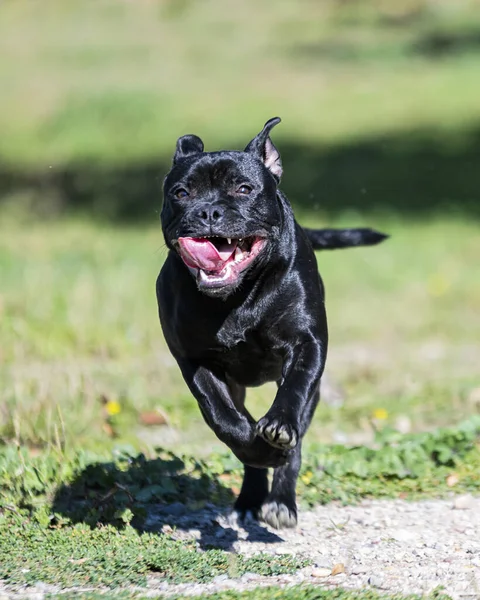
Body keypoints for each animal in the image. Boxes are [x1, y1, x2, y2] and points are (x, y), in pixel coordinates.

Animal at [158, 118, 386, 528]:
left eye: (244, 188)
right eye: (181, 193)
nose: (208, 212)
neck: (237, 297)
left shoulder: (307, 344)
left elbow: (293, 391)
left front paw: (278, 428)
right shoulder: (194, 361)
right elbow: (225, 419)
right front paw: (257, 449)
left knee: (296, 434)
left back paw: (280, 500)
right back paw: (252, 494)